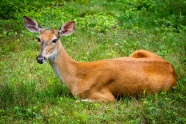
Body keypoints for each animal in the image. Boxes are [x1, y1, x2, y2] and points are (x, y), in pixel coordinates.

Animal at [24, 16, 177, 102]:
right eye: (38, 38)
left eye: (54, 40)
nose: (40, 58)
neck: (75, 78)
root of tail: (172, 68)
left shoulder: (106, 96)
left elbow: (78, 101)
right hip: (138, 51)